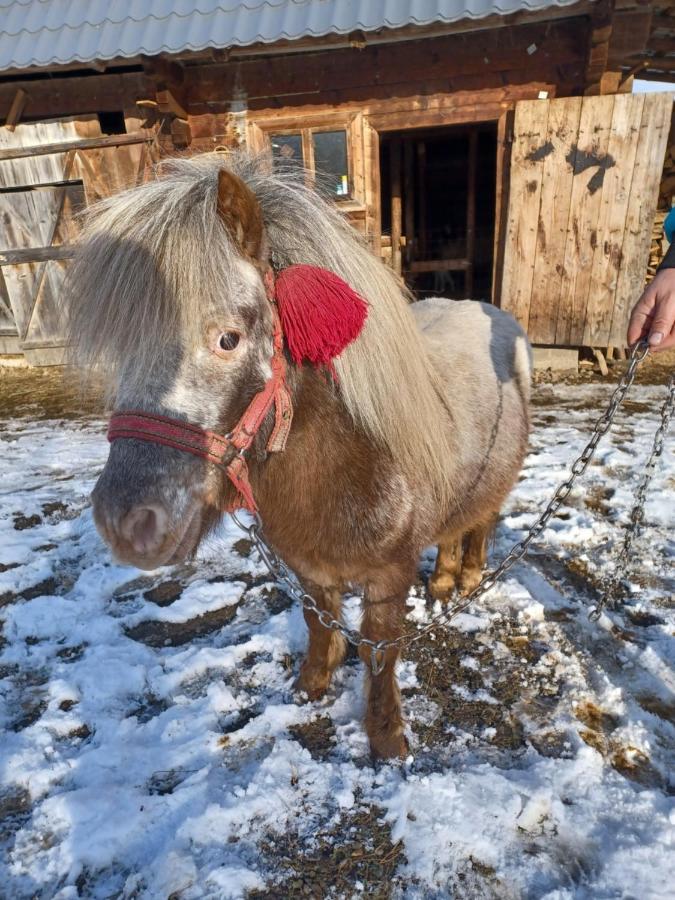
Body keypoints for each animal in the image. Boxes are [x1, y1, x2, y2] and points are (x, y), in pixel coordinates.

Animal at [68, 155, 532, 760]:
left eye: (228, 339)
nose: (125, 522)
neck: (347, 467)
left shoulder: (389, 578)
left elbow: (380, 653)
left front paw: (386, 735)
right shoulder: (308, 568)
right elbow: (319, 625)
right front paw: (313, 685)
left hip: (497, 487)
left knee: (483, 521)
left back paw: (469, 579)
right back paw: (444, 581)